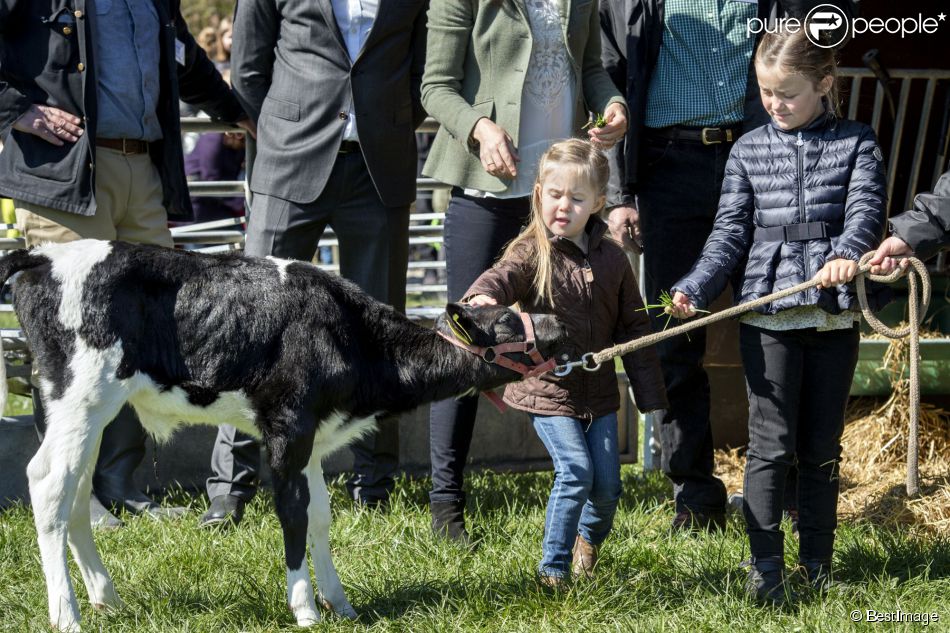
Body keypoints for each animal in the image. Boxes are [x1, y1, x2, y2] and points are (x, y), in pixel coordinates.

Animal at [0, 239, 564, 628]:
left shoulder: (312, 435)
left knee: (75, 492)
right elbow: (291, 511)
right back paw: (66, 615)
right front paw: (305, 609)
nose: (558, 326)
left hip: (92, 411)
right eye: (507, 322)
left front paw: (341, 604)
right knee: (47, 483)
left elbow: (319, 515)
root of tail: (40, 255)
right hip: (80, 397)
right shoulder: (286, 427)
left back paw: (107, 599)